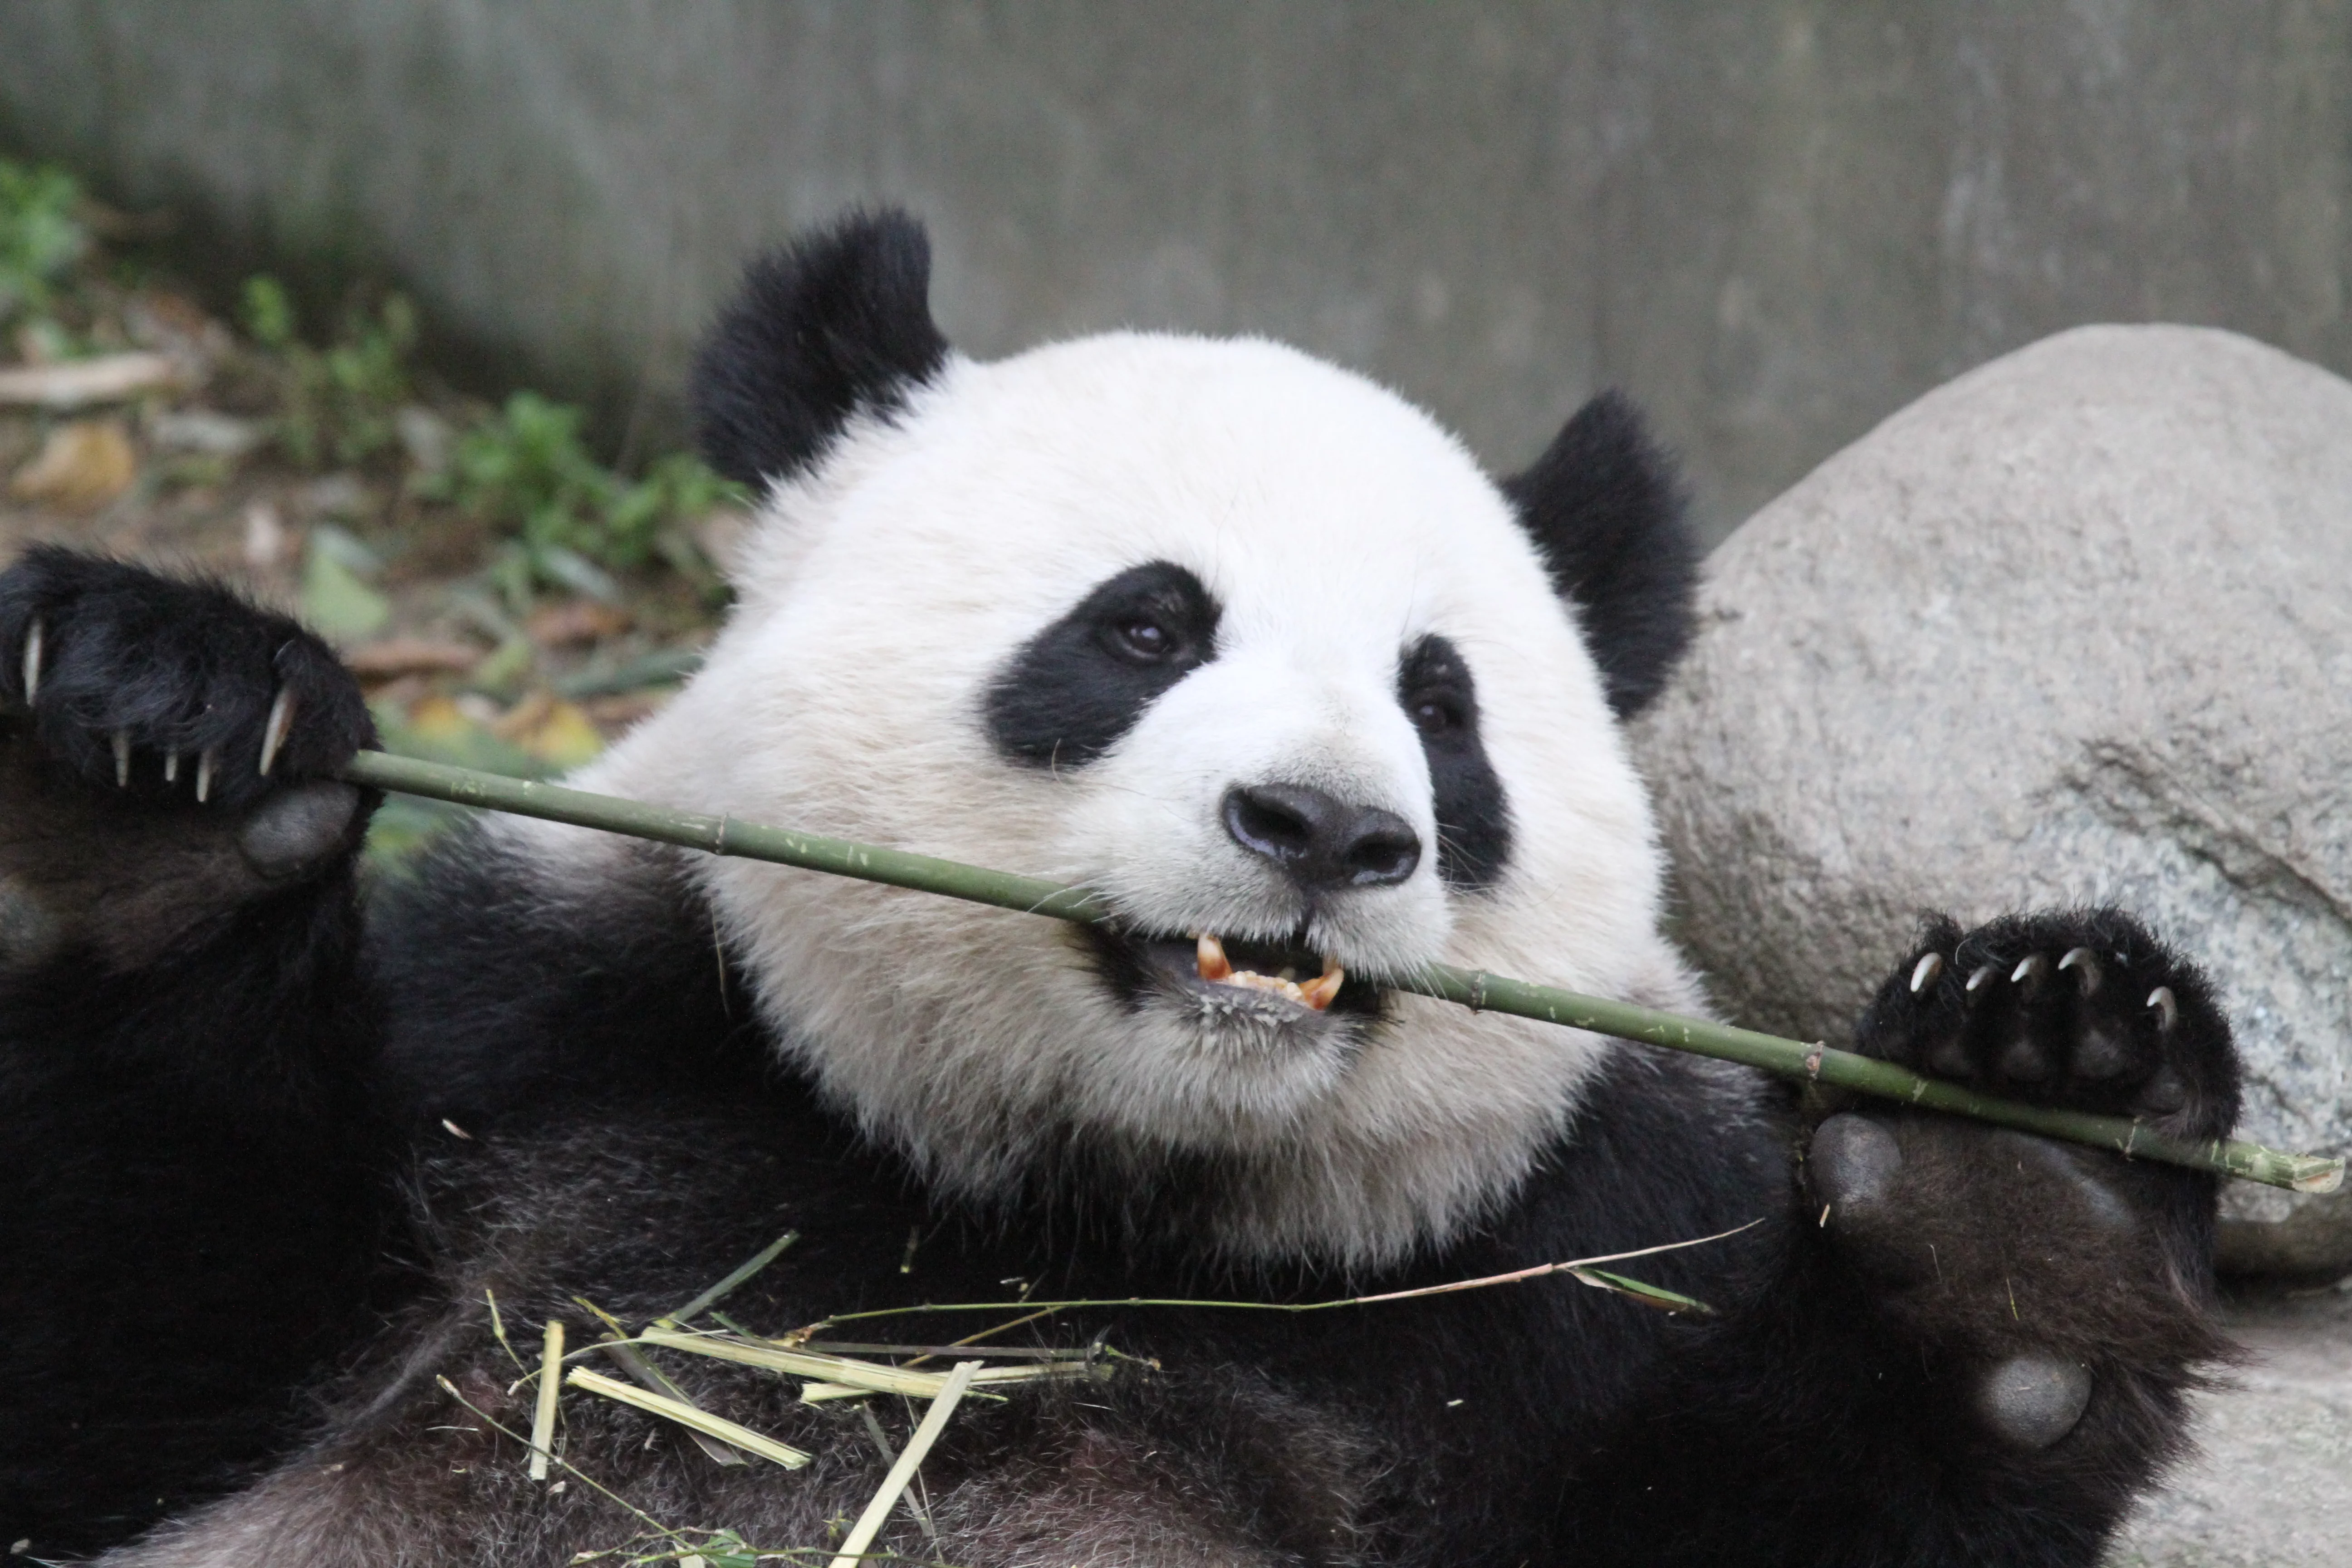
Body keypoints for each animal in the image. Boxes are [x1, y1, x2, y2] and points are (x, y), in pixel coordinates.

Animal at [0, 210, 2239, 1567]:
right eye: (1148, 625)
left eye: (1442, 710)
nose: (1326, 829)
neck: (1084, 1200)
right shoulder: (551, 1019)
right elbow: (126, 1383)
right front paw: (158, 759)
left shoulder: (1575, 1251)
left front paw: (2023, 1179)